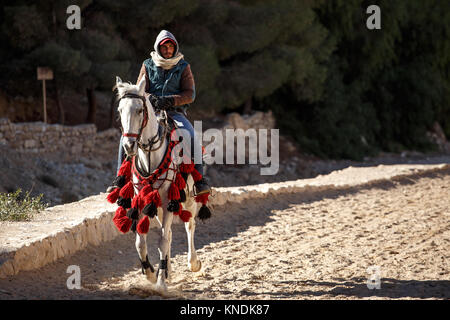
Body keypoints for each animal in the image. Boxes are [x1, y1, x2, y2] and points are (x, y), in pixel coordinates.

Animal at [115, 76, 201, 292]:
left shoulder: (170, 199)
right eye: (120, 110)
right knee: (168, 232)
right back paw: (167, 270)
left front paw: (160, 284)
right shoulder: (142, 201)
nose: (129, 145)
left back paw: (193, 263)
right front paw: (151, 274)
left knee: (189, 225)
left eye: (139, 110)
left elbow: (163, 240)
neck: (150, 155)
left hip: (188, 198)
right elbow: (141, 241)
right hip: (161, 207)